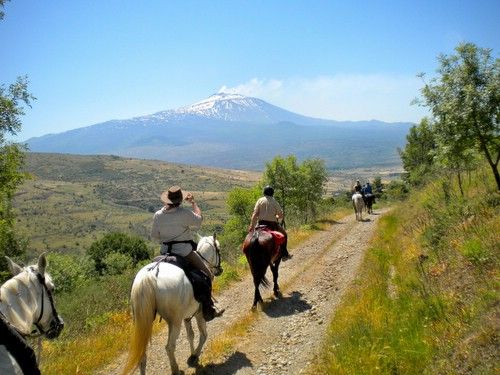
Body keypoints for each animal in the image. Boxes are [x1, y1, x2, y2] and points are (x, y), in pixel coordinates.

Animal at [121, 235, 223, 375]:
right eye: (218, 249)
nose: (219, 270)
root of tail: (149, 275)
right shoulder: (199, 313)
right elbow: (203, 335)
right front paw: (194, 355)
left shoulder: (187, 316)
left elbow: (190, 335)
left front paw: (192, 354)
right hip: (175, 322)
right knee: (170, 347)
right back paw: (175, 369)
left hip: (143, 321)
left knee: (142, 354)